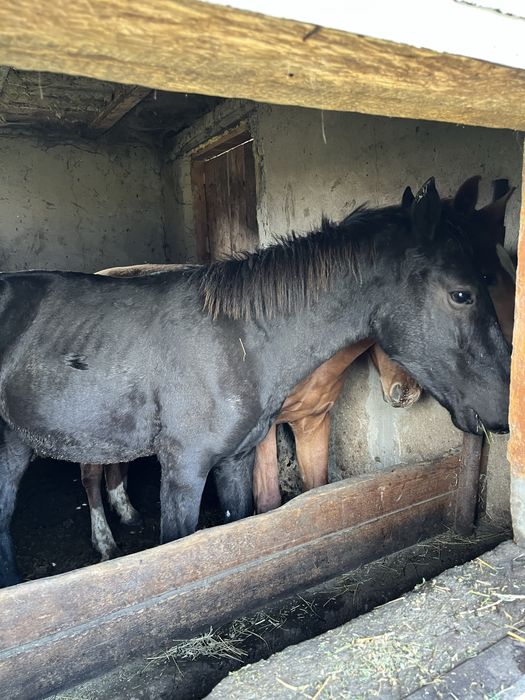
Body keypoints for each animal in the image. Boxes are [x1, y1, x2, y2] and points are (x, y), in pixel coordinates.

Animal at [0, 177, 510, 587]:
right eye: (462, 293)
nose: (505, 408)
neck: (239, 340)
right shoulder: (184, 470)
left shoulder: (237, 459)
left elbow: (241, 529)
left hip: (15, 446)